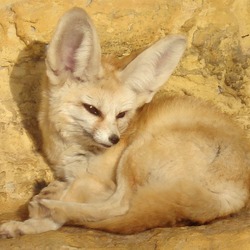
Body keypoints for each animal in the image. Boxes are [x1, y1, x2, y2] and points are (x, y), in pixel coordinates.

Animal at [0, 8, 250, 238]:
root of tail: (237, 193)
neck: (73, 152)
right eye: (92, 109)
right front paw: (29, 222)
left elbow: (79, 195)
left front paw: (33, 219)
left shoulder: (102, 182)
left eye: (121, 114)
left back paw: (53, 207)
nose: (114, 140)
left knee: (120, 207)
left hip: (136, 153)